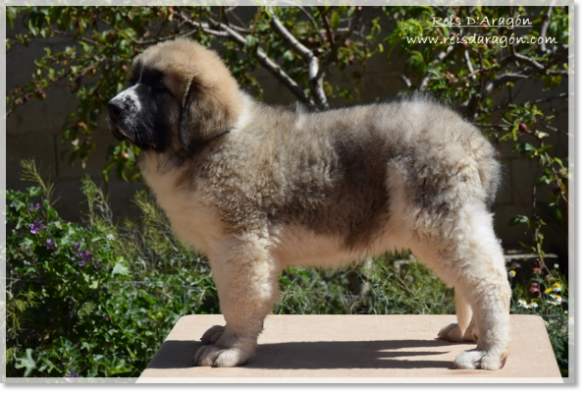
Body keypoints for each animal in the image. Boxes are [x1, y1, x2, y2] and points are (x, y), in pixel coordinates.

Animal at [108, 39, 512, 370]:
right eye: (134, 79)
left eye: (158, 87)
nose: (112, 107)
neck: (210, 144)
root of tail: (472, 138)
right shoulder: (232, 250)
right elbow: (235, 299)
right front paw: (223, 334)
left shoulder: (241, 245)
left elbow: (239, 300)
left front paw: (229, 348)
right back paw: (470, 334)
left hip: (439, 223)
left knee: (489, 281)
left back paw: (488, 352)